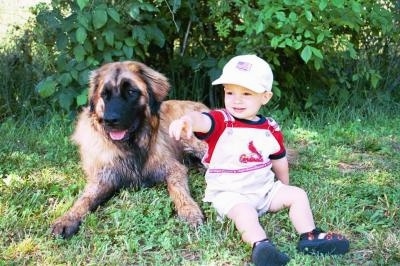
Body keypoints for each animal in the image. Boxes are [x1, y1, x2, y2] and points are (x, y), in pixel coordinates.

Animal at [50, 60, 209, 239]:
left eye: (131, 92)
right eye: (104, 94)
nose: (110, 120)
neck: (131, 146)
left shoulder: (173, 169)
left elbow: (177, 189)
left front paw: (189, 210)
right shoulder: (103, 177)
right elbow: (84, 199)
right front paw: (67, 218)